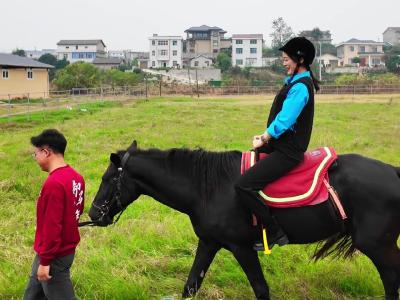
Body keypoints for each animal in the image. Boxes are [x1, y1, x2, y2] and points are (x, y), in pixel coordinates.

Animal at [88, 141, 400, 300]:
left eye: (107, 179)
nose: (93, 214)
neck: (207, 188)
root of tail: (394, 172)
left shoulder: (242, 248)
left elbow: (261, 289)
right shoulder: (209, 243)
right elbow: (190, 286)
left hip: (378, 246)